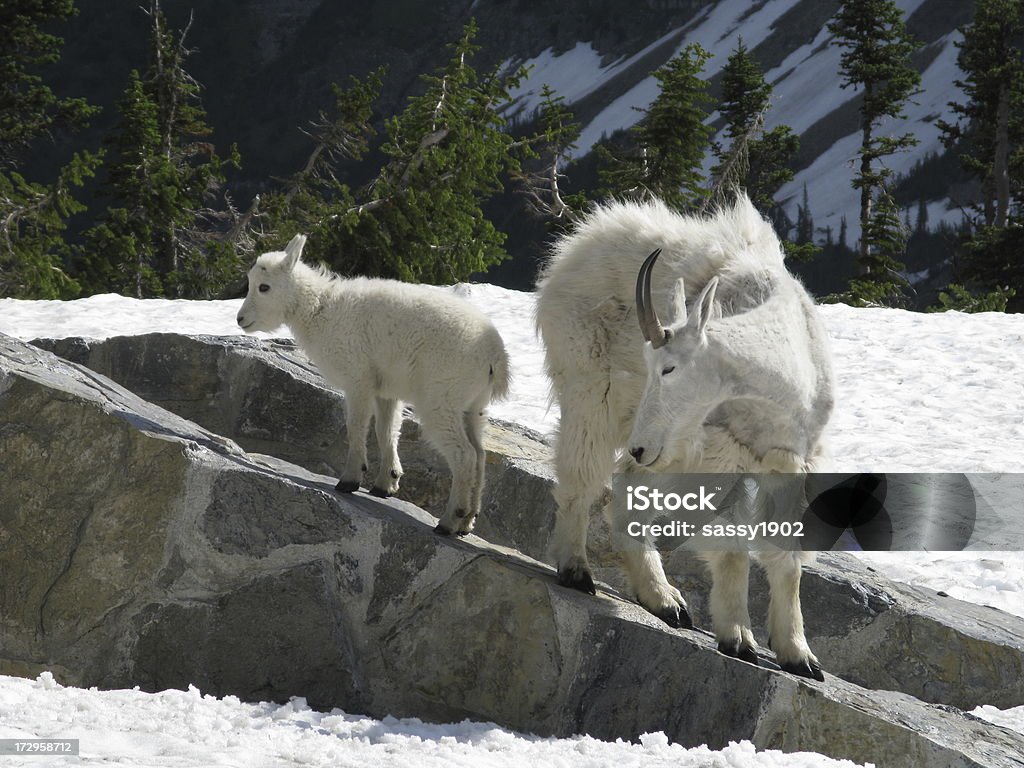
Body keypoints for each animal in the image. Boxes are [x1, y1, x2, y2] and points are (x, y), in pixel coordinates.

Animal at [238, 234, 512, 536]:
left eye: (264, 287)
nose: (240, 319)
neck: (320, 310)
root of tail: (495, 357)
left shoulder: (358, 379)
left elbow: (357, 426)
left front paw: (350, 479)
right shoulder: (386, 390)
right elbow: (386, 431)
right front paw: (386, 483)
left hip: (442, 398)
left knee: (464, 455)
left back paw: (450, 520)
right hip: (473, 406)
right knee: (480, 455)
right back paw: (468, 521)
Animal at [536, 195, 831, 684]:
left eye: (669, 368)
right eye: (651, 366)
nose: (639, 444)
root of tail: (580, 241)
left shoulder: (788, 463)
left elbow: (786, 559)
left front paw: (799, 655)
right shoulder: (718, 457)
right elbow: (731, 550)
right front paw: (739, 639)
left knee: (628, 486)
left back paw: (663, 599)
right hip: (592, 388)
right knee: (584, 477)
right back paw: (581, 571)